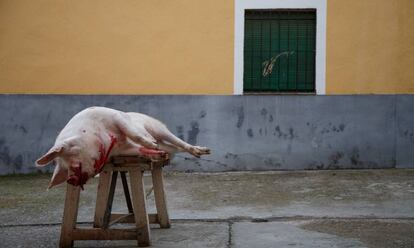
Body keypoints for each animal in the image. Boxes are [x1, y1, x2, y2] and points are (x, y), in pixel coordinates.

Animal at [35, 106, 210, 190]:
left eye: (72, 151)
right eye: (64, 167)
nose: (71, 179)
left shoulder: (117, 117)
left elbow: (132, 132)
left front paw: (151, 142)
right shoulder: (122, 149)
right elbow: (137, 148)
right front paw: (156, 151)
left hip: (158, 127)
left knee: (178, 141)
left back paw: (202, 151)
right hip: (168, 144)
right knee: (174, 147)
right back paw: (165, 151)